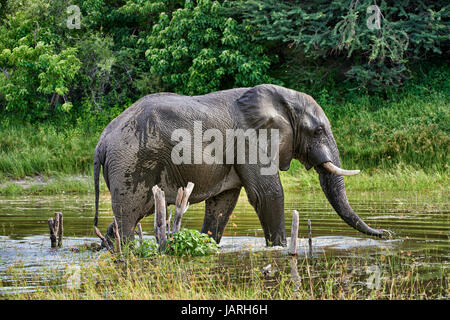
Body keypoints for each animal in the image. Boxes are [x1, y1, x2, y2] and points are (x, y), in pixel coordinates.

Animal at [92, 84, 390, 246]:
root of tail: (101, 142)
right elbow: (267, 194)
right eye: (317, 131)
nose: (386, 233)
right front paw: (279, 248)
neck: (282, 98)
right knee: (128, 217)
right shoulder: (250, 139)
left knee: (129, 217)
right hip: (130, 161)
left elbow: (223, 204)